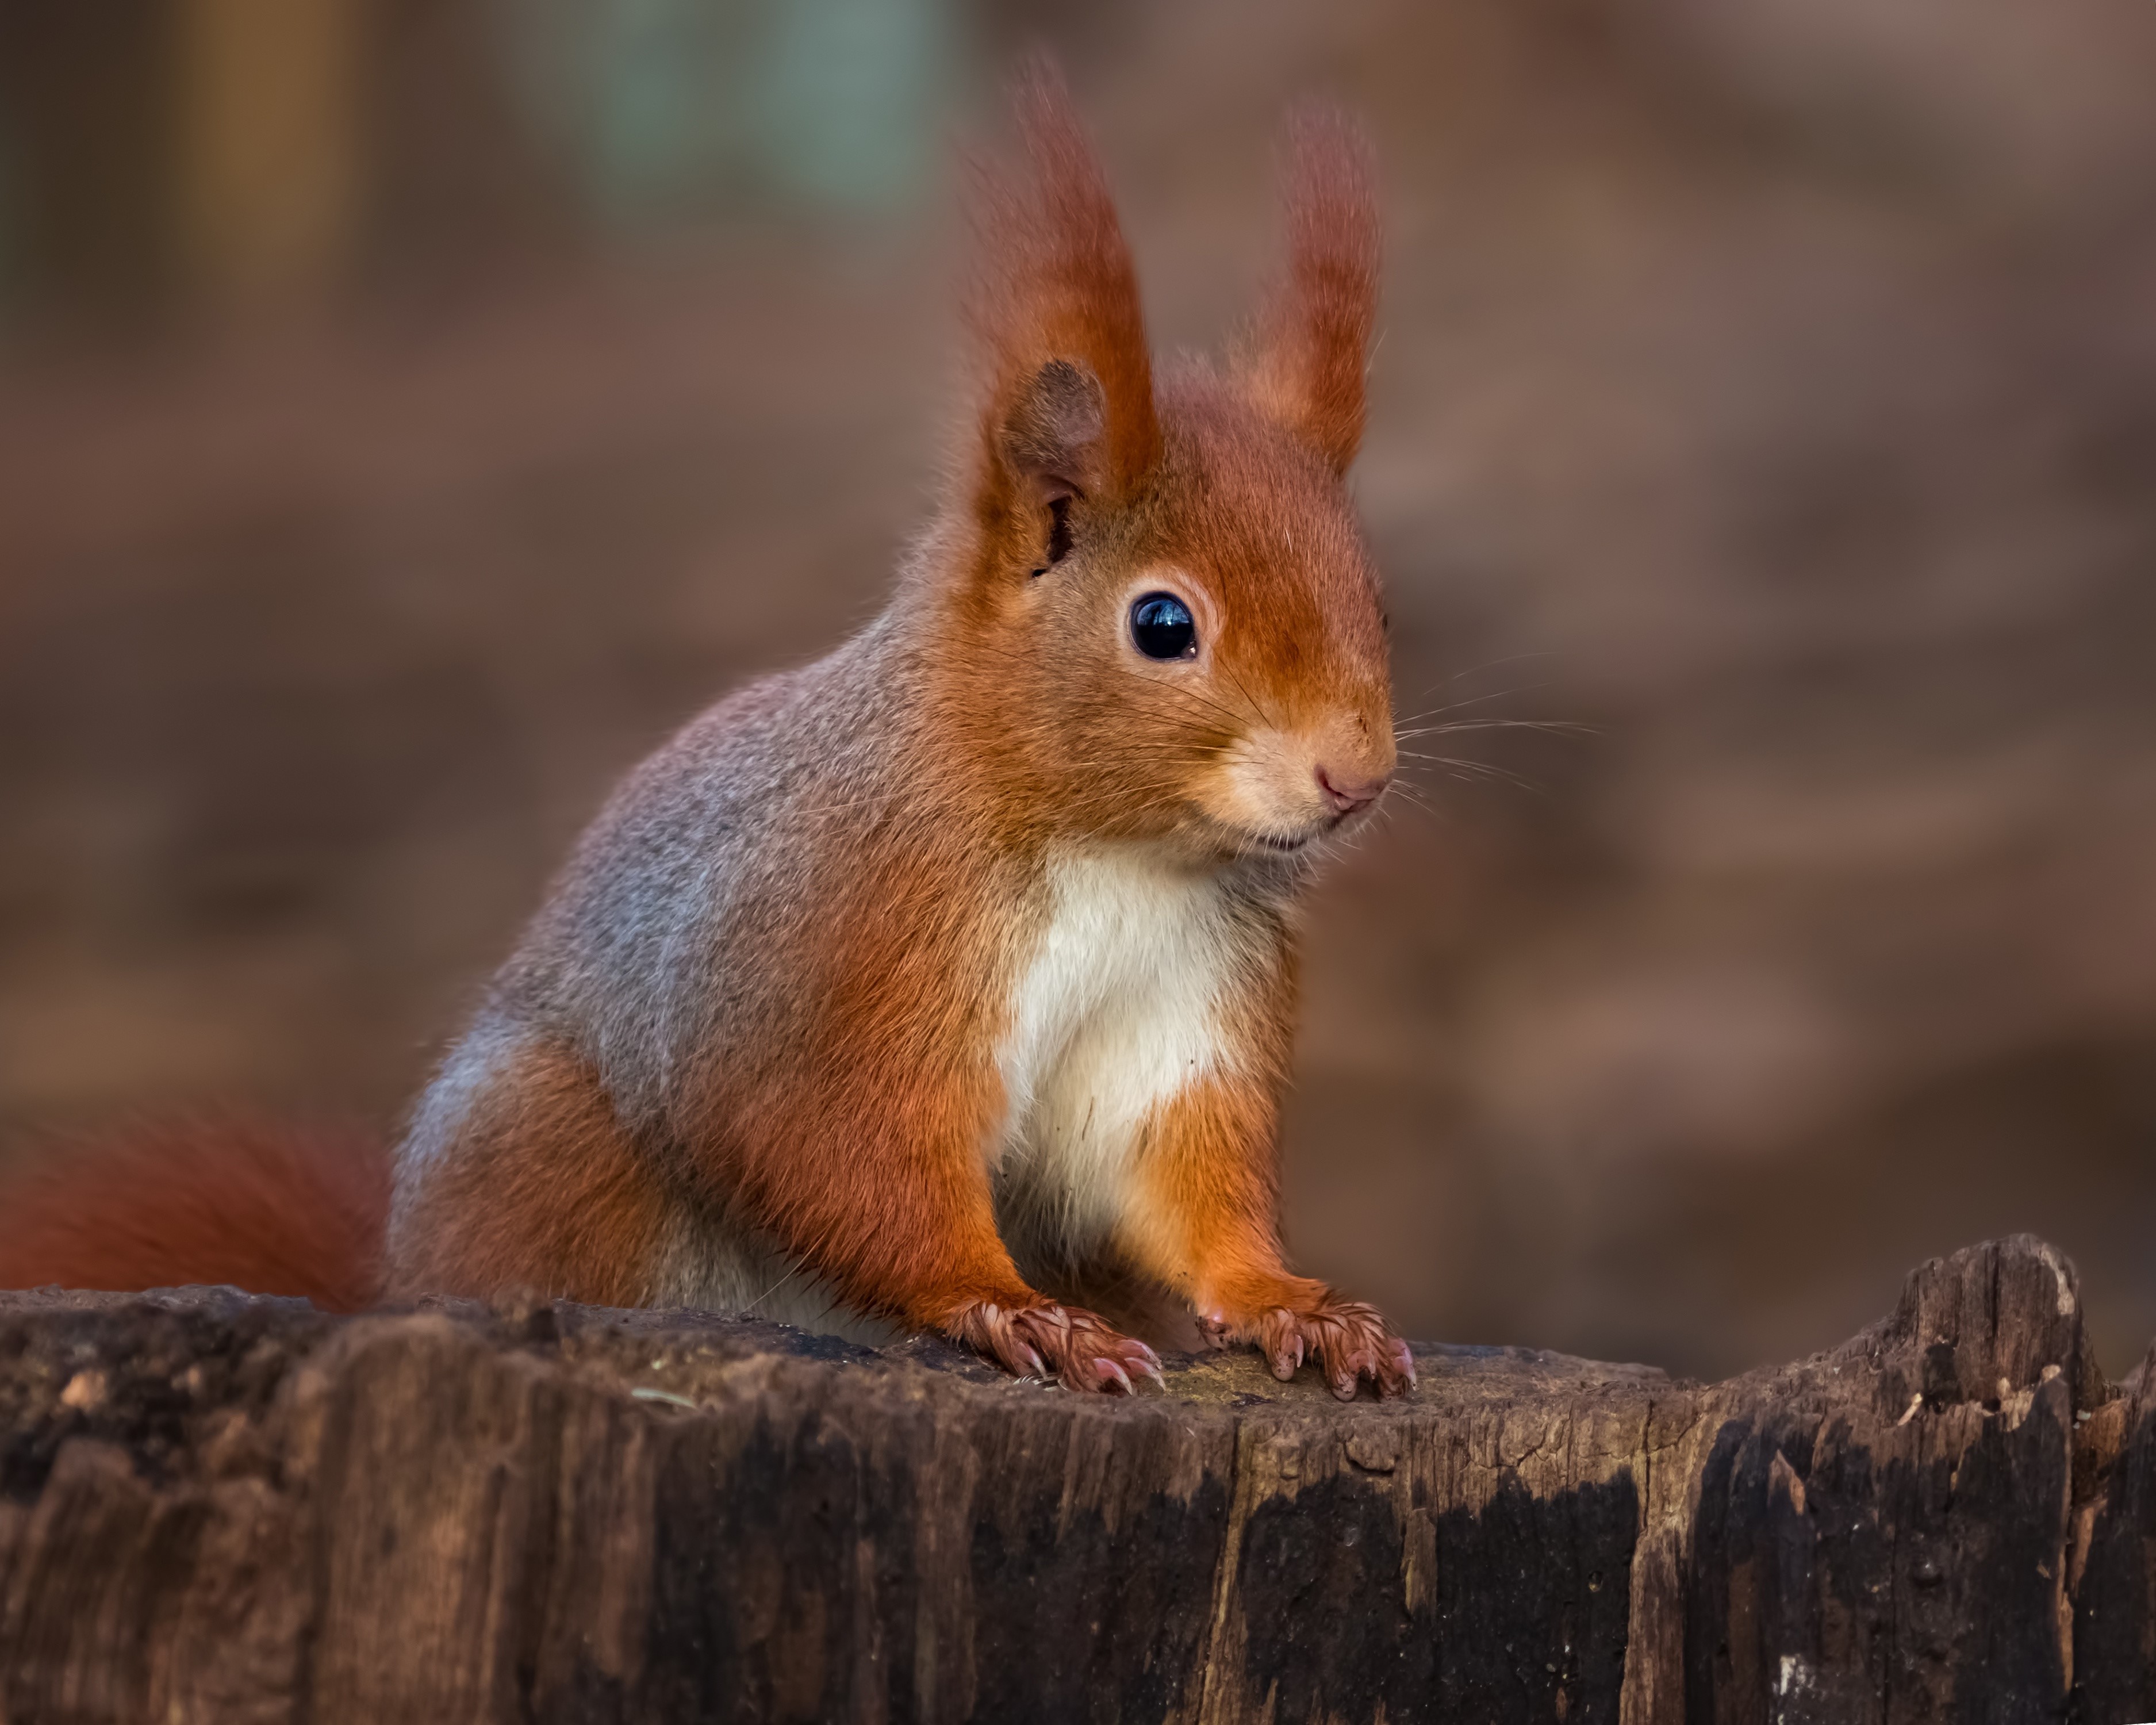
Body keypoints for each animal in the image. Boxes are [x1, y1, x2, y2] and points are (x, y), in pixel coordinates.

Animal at [0, 66, 1414, 1401]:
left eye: (1375, 596)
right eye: (1164, 624)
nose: (1356, 778)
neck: (1114, 851)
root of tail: (395, 1272)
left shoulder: (1185, 1017)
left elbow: (1187, 1186)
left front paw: (1291, 1302)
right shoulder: (833, 958)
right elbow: (837, 1156)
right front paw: (1009, 1309)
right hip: (550, 1149)